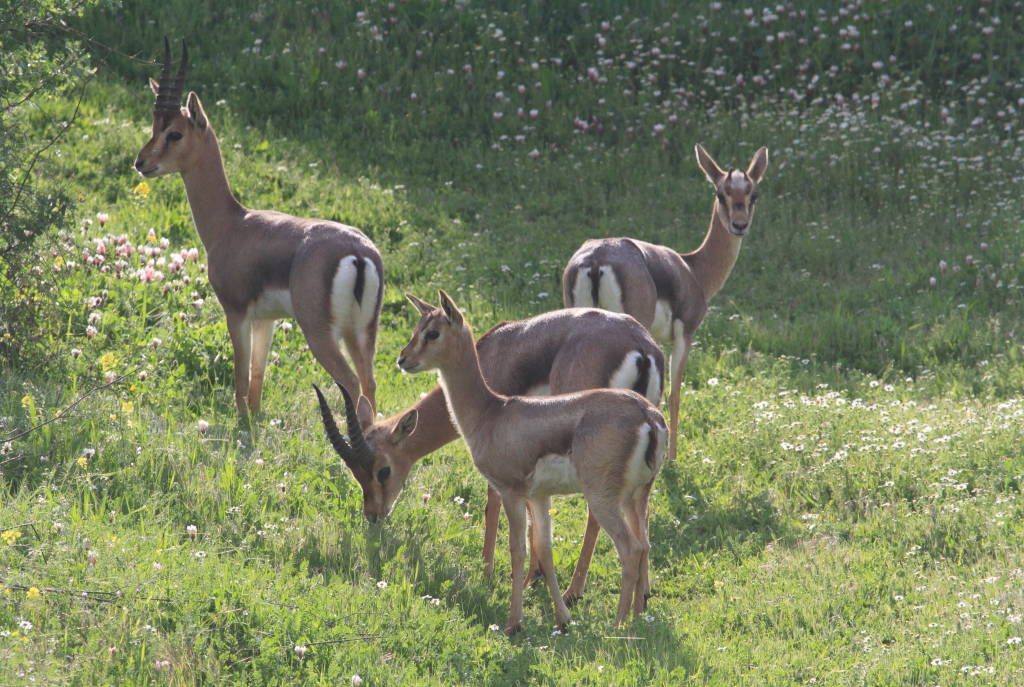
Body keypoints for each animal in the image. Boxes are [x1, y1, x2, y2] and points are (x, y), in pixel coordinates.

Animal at [134, 40, 383, 415]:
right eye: (153, 127)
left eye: (174, 133)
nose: (141, 162)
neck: (231, 223)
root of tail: (357, 253)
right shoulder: (267, 319)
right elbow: (257, 379)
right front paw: (253, 419)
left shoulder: (236, 312)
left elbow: (240, 377)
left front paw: (240, 424)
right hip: (361, 334)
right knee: (370, 385)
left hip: (321, 334)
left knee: (353, 387)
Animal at [314, 307, 663, 606]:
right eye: (356, 472)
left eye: (382, 470)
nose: (373, 514)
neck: (490, 358)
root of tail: (641, 350)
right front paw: (532, 575)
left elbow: (493, 506)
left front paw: (491, 572)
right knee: (641, 516)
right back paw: (643, 594)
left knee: (601, 516)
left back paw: (573, 592)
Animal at [396, 291, 666, 634]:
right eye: (417, 328)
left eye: (432, 333)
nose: (403, 359)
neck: (491, 412)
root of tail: (648, 417)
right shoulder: (539, 497)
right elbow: (545, 549)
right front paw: (562, 620)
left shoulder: (511, 492)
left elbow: (518, 549)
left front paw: (513, 622)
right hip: (636, 496)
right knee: (644, 544)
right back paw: (637, 614)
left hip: (603, 498)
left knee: (629, 548)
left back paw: (616, 625)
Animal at [563, 144, 768, 461]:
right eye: (721, 193)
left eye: (752, 194)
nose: (740, 225)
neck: (693, 269)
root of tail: (596, 259)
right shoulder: (685, 334)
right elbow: (674, 393)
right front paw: (672, 457)